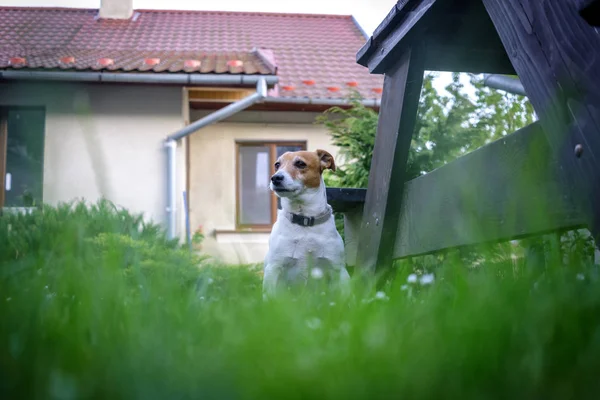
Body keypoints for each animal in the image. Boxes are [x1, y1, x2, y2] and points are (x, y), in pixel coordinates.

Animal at [262, 148, 352, 298]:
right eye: (277, 165)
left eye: (300, 163)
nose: (275, 178)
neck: (304, 221)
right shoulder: (274, 268)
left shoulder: (338, 270)